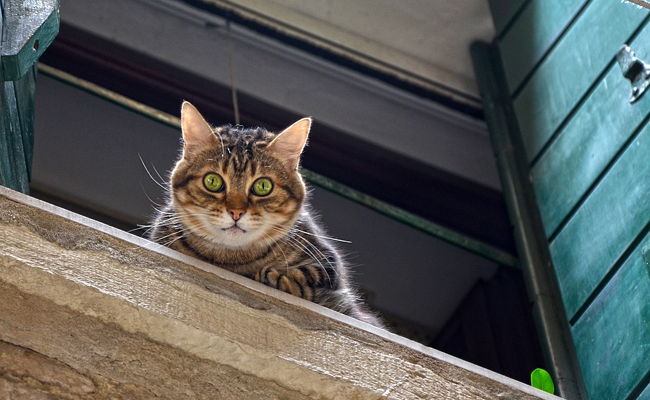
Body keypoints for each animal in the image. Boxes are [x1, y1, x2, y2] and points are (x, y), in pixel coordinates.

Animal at [146, 102, 380, 328]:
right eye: (212, 181)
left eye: (263, 186)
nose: (236, 211)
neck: (231, 262)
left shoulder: (328, 262)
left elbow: (307, 276)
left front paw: (277, 277)